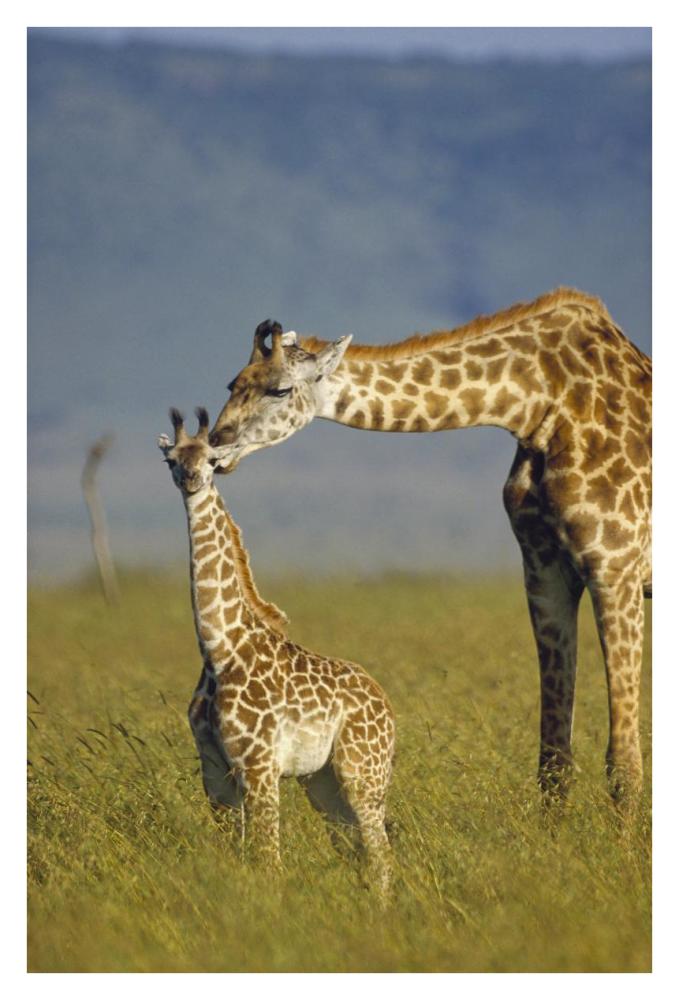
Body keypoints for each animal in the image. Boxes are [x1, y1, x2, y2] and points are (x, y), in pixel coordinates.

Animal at [158, 407, 396, 892]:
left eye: (212, 459)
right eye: (171, 459)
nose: (190, 479)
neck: (219, 648)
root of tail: (386, 704)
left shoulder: (259, 764)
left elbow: (269, 861)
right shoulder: (215, 770)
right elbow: (238, 857)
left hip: (363, 772)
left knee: (381, 857)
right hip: (321, 781)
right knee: (357, 853)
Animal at [208, 291, 652, 811]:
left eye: (278, 390)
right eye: (232, 384)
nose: (215, 446)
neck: (537, 407)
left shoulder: (615, 566)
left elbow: (624, 763)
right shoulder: (544, 572)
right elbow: (554, 759)